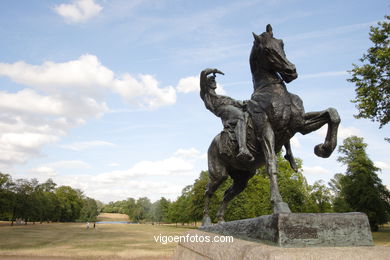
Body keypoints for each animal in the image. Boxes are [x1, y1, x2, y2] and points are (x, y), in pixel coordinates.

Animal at [203, 23, 340, 225]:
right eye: (267, 50)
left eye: (281, 43)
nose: (291, 71)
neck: (275, 92)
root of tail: (213, 144)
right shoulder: (266, 130)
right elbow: (271, 164)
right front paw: (278, 203)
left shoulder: (299, 125)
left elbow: (332, 114)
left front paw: (324, 149)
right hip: (219, 174)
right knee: (208, 191)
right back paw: (206, 220)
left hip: (242, 177)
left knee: (228, 194)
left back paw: (220, 219)